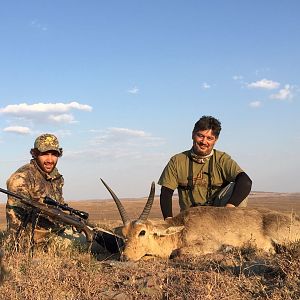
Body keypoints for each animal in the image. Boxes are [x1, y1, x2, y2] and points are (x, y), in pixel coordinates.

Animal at [101, 179, 300, 262]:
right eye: (124, 235)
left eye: (142, 232)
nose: (125, 257)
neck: (180, 229)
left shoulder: (208, 244)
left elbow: (177, 252)